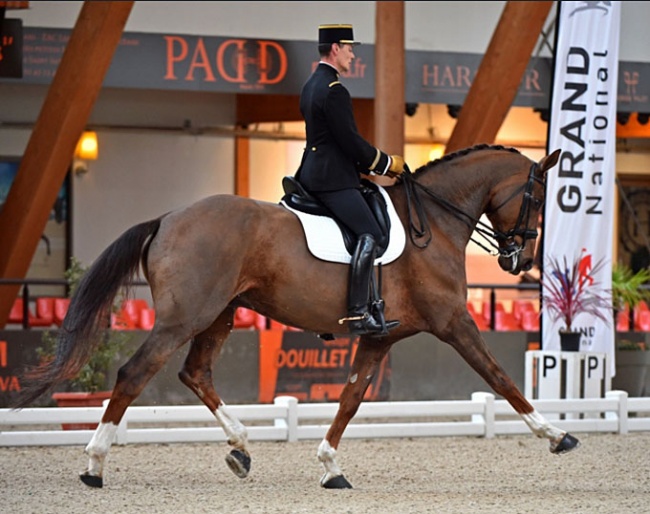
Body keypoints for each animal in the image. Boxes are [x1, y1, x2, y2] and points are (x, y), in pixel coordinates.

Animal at [15, 144, 576, 488]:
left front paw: (330, 467)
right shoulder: (455, 322)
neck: (434, 222)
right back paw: (94, 464)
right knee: (135, 373)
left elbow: (350, 397)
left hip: (220, 314)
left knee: (195, 373)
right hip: (185, 318)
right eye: (538, 199)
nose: (519, 262)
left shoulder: (379, 338)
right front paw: (556, 436)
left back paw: (241, 448)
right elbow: (501, 378)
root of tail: (168, 218)